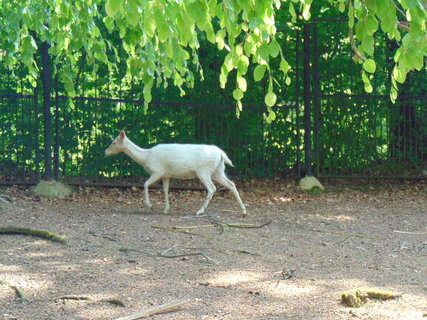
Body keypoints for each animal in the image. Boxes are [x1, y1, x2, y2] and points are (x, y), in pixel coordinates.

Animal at [105, 130, 247, 215]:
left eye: (114, 142)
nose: (105, 152)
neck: (146, 157)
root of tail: (221, 153)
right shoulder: (166, 175)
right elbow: (166, 189)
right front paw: (166, 209)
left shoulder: (157, 171)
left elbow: (145, 184)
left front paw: (149, 205)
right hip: (218, 171)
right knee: (231, 184)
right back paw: (244, 210)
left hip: (204, 171)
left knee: (212, 188)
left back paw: (199, 211)